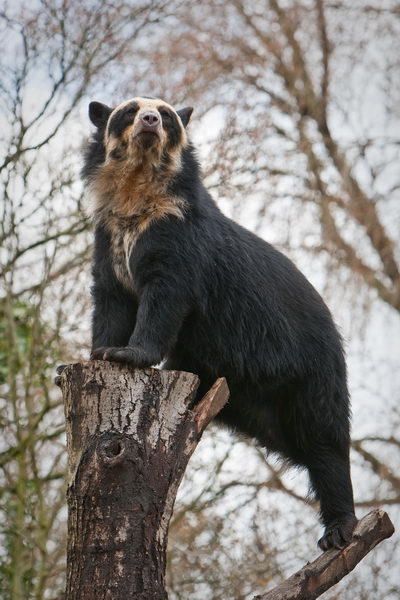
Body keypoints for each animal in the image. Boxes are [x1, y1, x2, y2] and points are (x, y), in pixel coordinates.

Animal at [81, 96, 356, 552]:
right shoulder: (108, 240)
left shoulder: (176, 235)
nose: (150, 121)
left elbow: (165, 297)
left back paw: (340, 530)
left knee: (324, 441)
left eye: (166, 115)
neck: (137, 193)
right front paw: (95, 354)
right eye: (130, 111)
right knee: (300, 445)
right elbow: (110, 301)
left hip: (313, 369)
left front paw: (128, 354)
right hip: (247, 398)